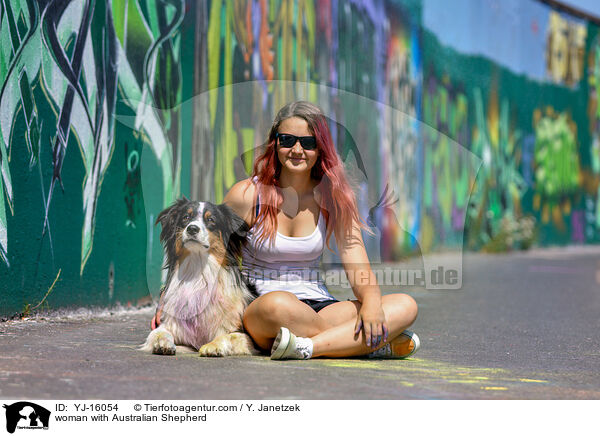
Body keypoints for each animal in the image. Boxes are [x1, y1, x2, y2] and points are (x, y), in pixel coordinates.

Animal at [143, 199, 260, 356]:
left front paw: (213, 346)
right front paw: (163, 343)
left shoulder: (245, 335)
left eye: (211, 220)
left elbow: (228, 335)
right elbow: (158, 333)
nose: (192, 229)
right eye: (186, 217)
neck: (198, 274)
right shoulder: (172, 325)